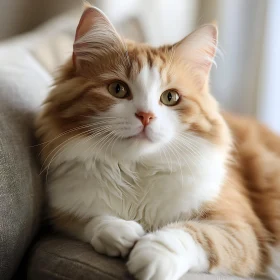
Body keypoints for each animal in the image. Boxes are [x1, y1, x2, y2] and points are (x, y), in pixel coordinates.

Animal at [35, 2, 280, 280]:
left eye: (170, 97)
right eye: (118, 89)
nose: (146, 116)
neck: (137, 170)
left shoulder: (241, 230)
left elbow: (191, 233)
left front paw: (151, 254)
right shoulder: (64, 211)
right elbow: (92, 221)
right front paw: (120, 234)